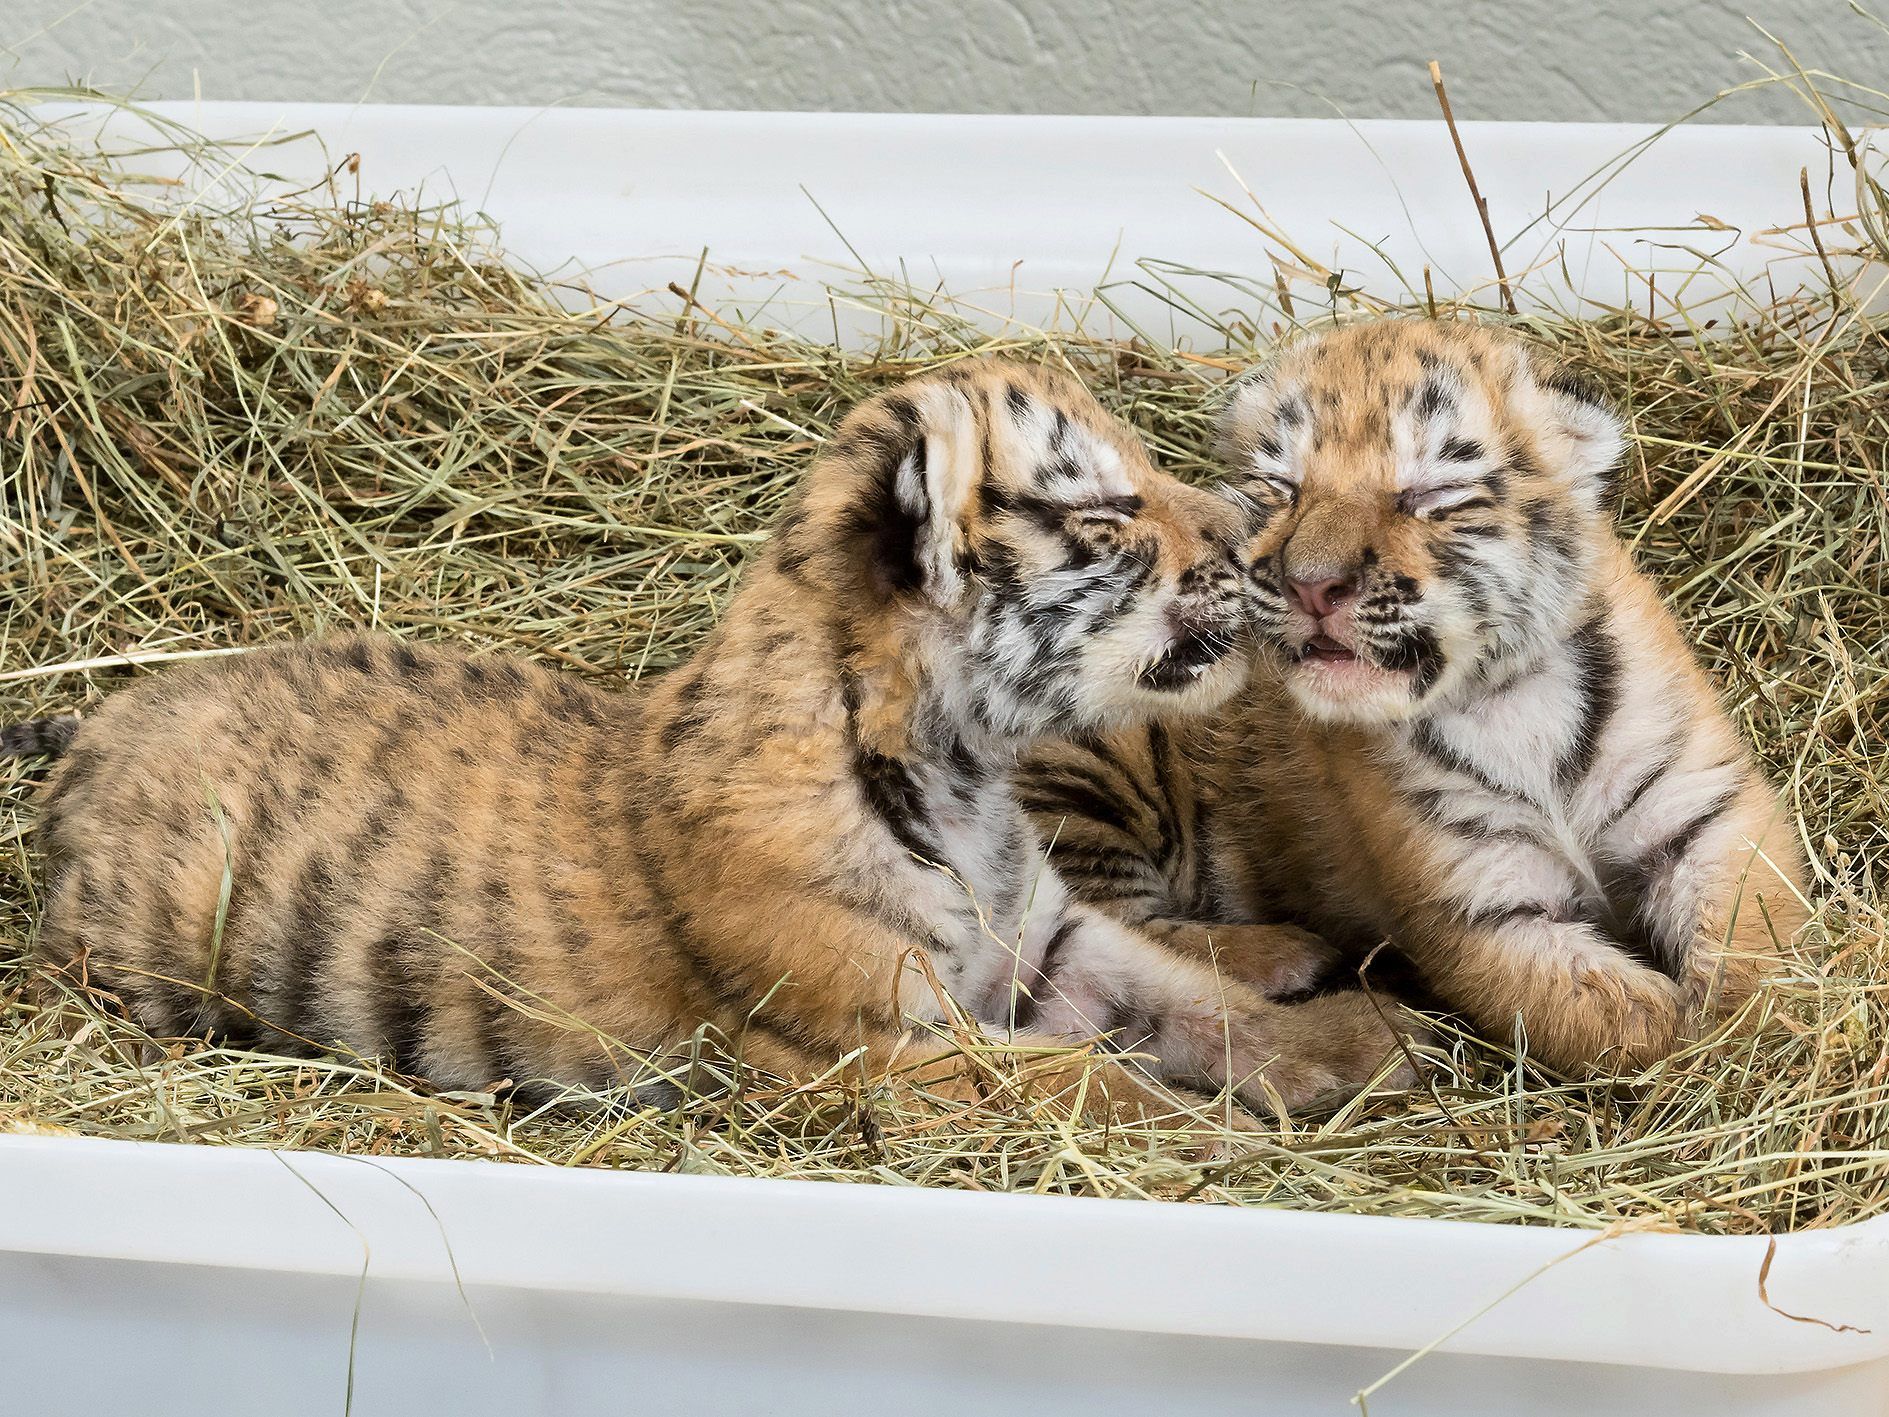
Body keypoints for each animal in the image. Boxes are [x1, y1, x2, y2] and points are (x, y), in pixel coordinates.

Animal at [2, 356, 1411, 1116]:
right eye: (1107, 513)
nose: (1245, 535)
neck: (961, 776)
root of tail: (105, 715)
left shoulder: (1049, 941)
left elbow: (1198, 1001)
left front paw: (1362, 1045)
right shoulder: (876, 1045)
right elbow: (1090, 1083)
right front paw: (1221, 1134)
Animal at [1021, 321, 1809, 1073]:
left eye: (1431, 493)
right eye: (1282, 488)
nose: (1311, 585)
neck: (1507, 699)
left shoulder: (1708, 812)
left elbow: (1754, 935)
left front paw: (1750, 1032)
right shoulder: (1473, 907)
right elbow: (1620, 1019)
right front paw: (1694, 1051)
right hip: (1080, 783)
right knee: (1107, 929)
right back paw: (1291, 955)